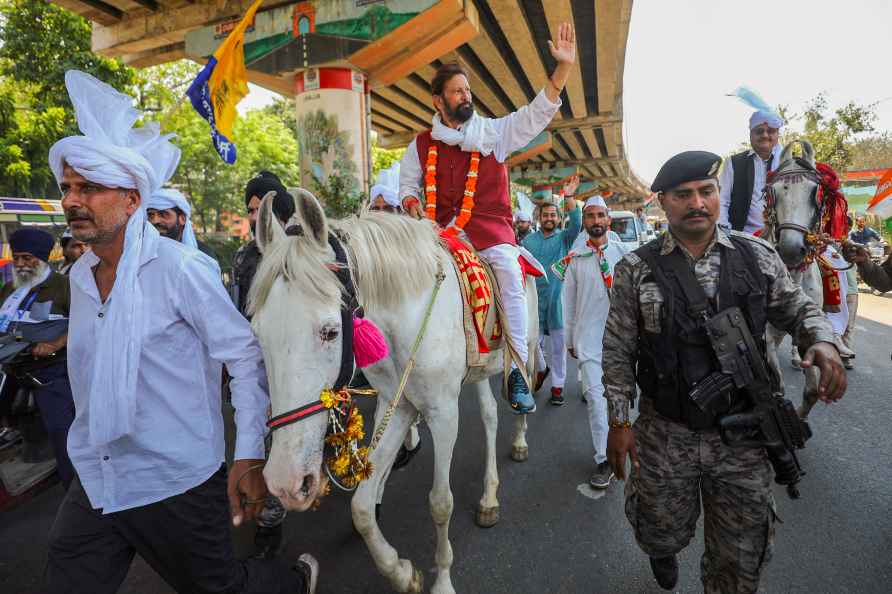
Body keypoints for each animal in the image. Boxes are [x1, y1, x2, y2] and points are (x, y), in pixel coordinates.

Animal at [251, 187, 540, 588]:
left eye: (330, 331)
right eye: (257, 332)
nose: (285, 483)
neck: (408, 313)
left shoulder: (443, 413)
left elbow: (441, 502)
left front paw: (442, 581)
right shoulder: (400, 403)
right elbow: (360, 507)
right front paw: (402, 573)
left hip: (528, 345)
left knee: (522, 386)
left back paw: (520, 438)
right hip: (479, 371)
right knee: (489, 416)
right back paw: (489, 497)